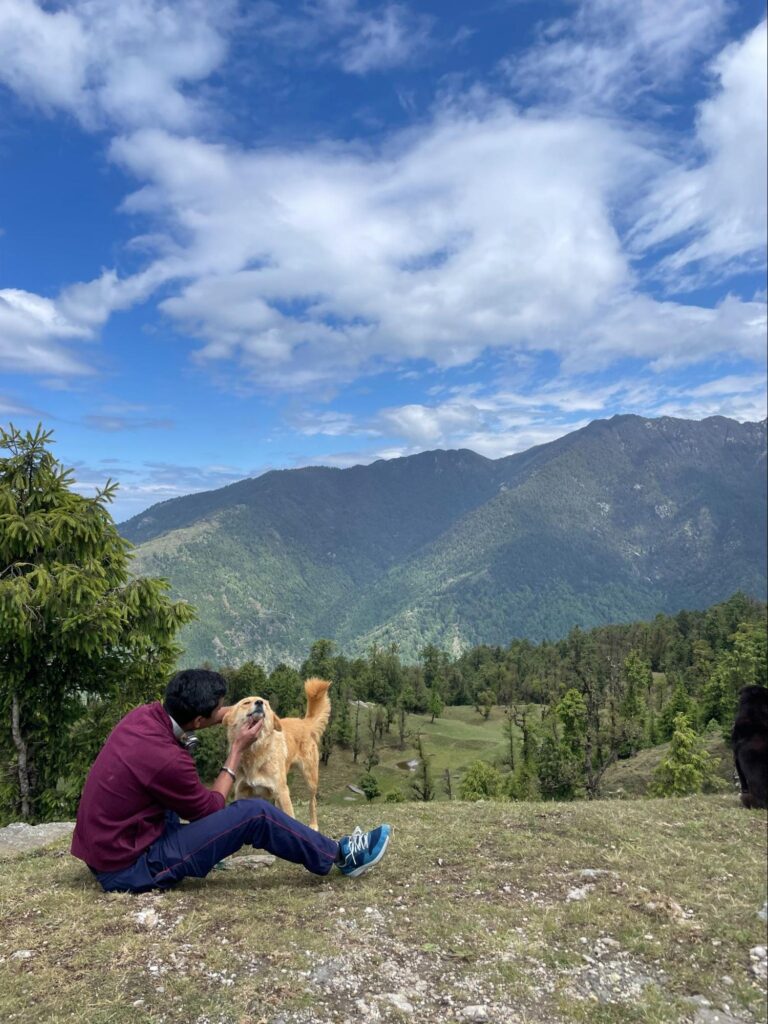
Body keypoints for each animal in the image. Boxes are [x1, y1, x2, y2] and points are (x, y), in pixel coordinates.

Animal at [222, 679, 331, 831]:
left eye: (265, 703)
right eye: (246, 702)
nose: (259, 703)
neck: (256, 750)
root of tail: (304, 722)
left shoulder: (282, 791)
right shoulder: (241, 792)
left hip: (311, 778)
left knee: (312, 801)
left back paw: (313, 824)